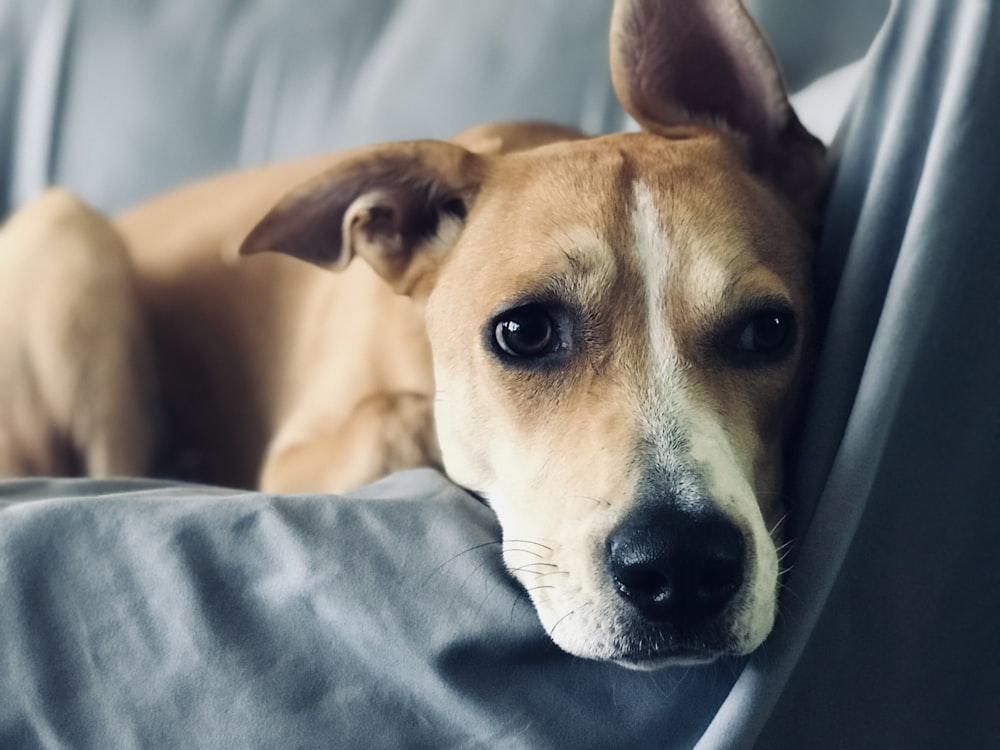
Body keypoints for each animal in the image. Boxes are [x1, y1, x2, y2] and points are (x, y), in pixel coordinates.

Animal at [0, 0, 828, 668]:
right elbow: (394, 419)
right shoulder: (297, 458)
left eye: (768, 331)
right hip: (68, 235)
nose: (682, 567)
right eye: (524, 332)